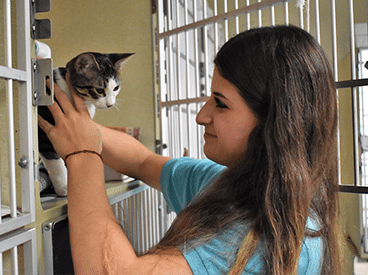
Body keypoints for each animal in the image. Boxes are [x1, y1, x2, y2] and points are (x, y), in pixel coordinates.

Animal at [38, 52, 134, 196]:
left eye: (116, 88)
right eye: (99, 90)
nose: (110, 104)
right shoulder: (44, 131)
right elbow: (56, 162)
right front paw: (64, 187)